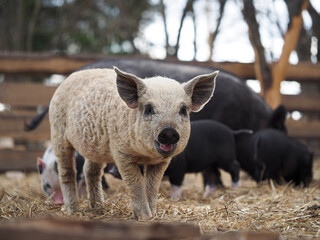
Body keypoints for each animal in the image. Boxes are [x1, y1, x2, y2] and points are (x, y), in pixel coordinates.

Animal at [48, 66, 218, 219]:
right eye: (148, 109)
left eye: (183, 110)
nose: (169, 131)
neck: (146, 155)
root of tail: (67, 79)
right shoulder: (121, 153)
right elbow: (136, 184)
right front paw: (144, 217)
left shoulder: (161, 162)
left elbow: (152, 186)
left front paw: (153, 215)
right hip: (58, 132)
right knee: (67, 171)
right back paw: (73, 210)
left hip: (96, 148)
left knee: (90, 171)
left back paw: (98, 207)